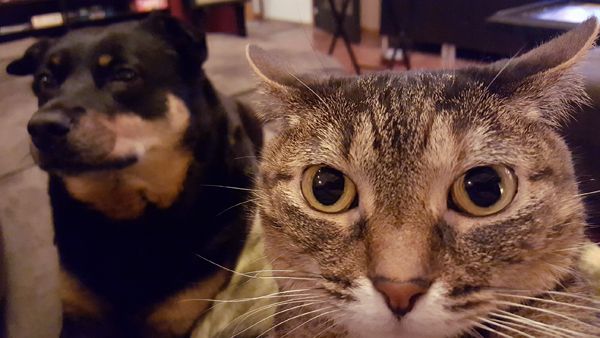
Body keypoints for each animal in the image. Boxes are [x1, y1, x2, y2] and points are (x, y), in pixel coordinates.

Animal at [5, 13, 260, 338]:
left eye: (124, 74)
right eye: (45, 81)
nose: (41, 127)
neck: (128, 213)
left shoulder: (174, 316)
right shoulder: (79, 312)